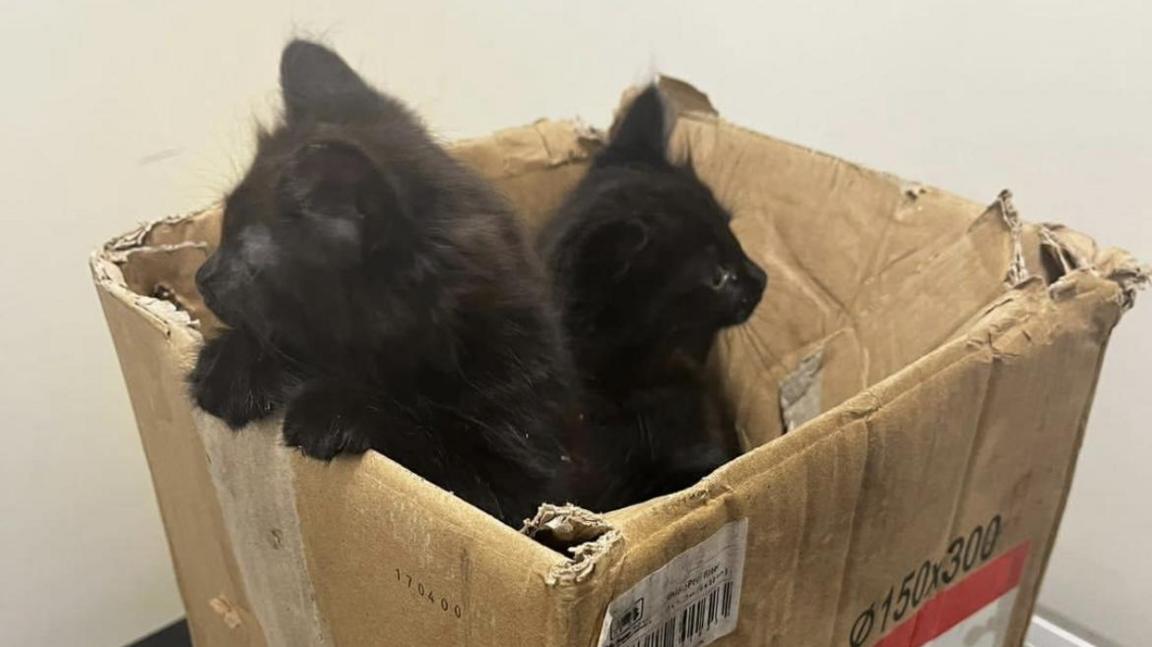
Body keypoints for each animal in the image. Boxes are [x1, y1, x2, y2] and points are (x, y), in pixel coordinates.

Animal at [194, 39, 585, 524]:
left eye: (244, 249)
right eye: (224, 230)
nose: (202, 277)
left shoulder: (519, 478)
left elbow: (428, 442)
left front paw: (335, 412)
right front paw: (231, 366)